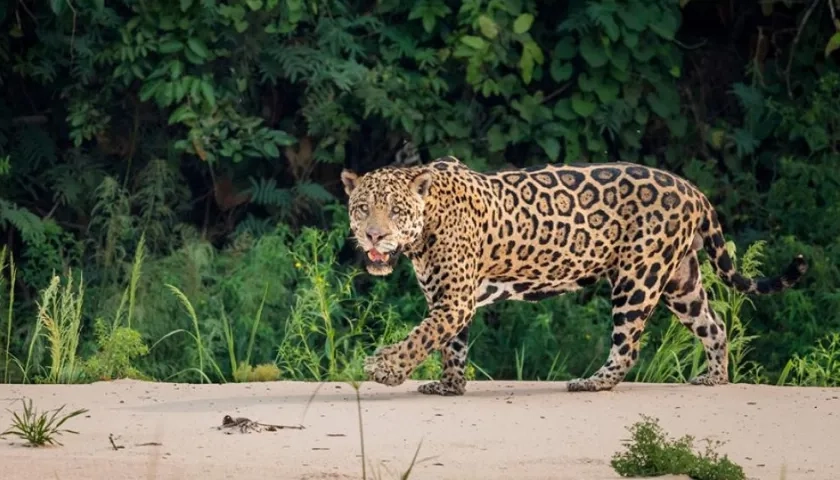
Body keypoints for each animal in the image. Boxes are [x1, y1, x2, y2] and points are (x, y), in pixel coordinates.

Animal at [340, 153, 808, 396]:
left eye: (395, 211)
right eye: (362, 208)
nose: (374, 235)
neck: (428, 221)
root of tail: (692, 189)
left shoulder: (454, 300)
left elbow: (420, 337)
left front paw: (385, 369)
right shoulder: (450, 300)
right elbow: (450, 345)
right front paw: (449, 386)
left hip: (638, 278)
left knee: (628, 346)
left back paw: (592, 383)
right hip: (681, 281)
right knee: (713, 325)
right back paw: (714, 377)